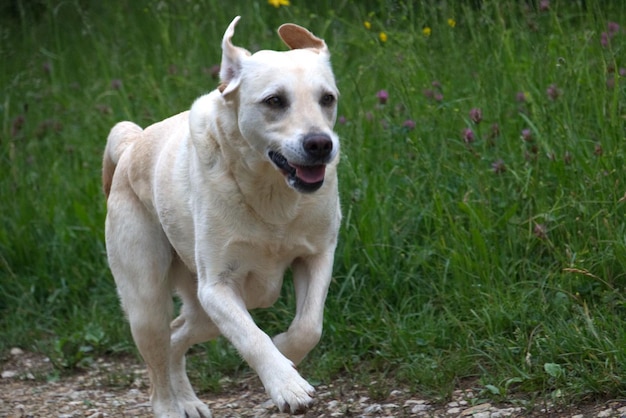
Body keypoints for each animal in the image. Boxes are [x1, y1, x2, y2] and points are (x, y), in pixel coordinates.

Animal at [101, 14, 342, 416]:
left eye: (328, 99)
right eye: (275, 100)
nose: (320, 144)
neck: (271, 195)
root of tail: (132, 144)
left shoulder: (317, 256)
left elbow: (310, 326)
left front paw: (286, 352)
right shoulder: (217, 287)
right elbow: (253, 338)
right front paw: (287, 385)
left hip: (202, 312)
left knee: (177, 334)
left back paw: (188, 400)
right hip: (147, 300)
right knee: (158, 357)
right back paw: (171, 406)